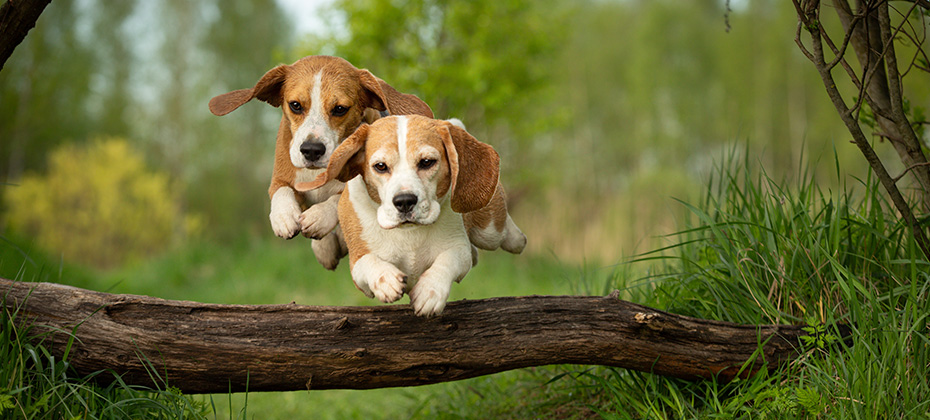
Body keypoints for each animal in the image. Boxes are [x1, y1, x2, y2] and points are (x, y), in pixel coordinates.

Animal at [298, 115, 528, 316]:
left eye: (426, 162)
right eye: (380, 166)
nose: (404, 201)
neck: (409, 233)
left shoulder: (457, 248)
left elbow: (447, 259)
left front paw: (430, 291)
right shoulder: (357, 267)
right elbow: (369, 260)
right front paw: (386, 279)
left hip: (489, 232)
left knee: (502, 232)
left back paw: (517, 239)